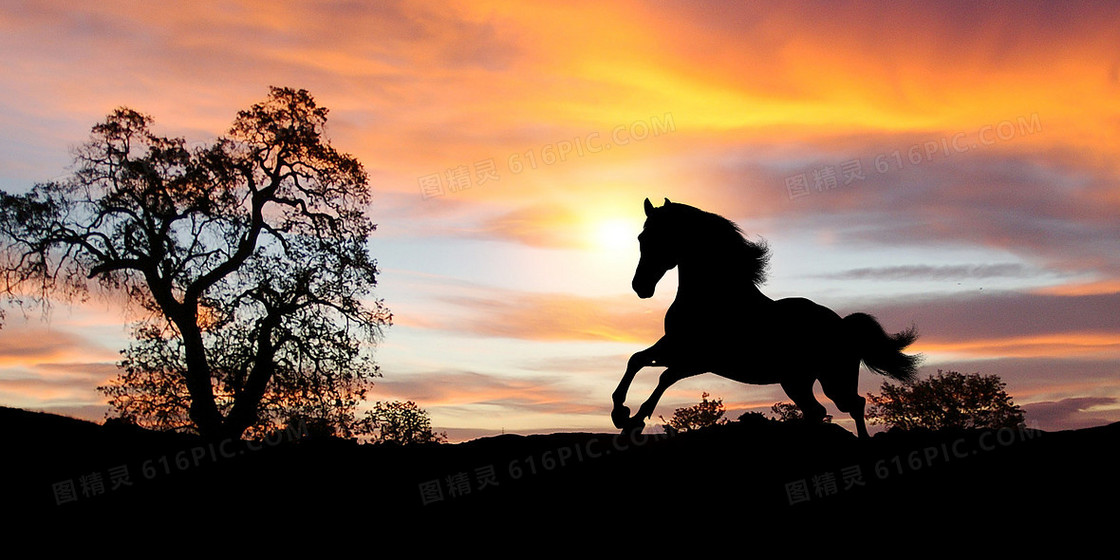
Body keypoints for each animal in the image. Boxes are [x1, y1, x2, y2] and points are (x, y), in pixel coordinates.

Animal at [613, 197, 918, 436]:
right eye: (641, 238)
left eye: (661, 237)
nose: (640, 287)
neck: (714, 296)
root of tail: (843, 325)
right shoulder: (674, 346)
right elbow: (636, 360)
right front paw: (620, 413)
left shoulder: (700, 359)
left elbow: (664, 377)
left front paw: (634, 420)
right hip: (796, 381)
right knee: (819, 410)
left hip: (833, 379)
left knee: (853, 405)